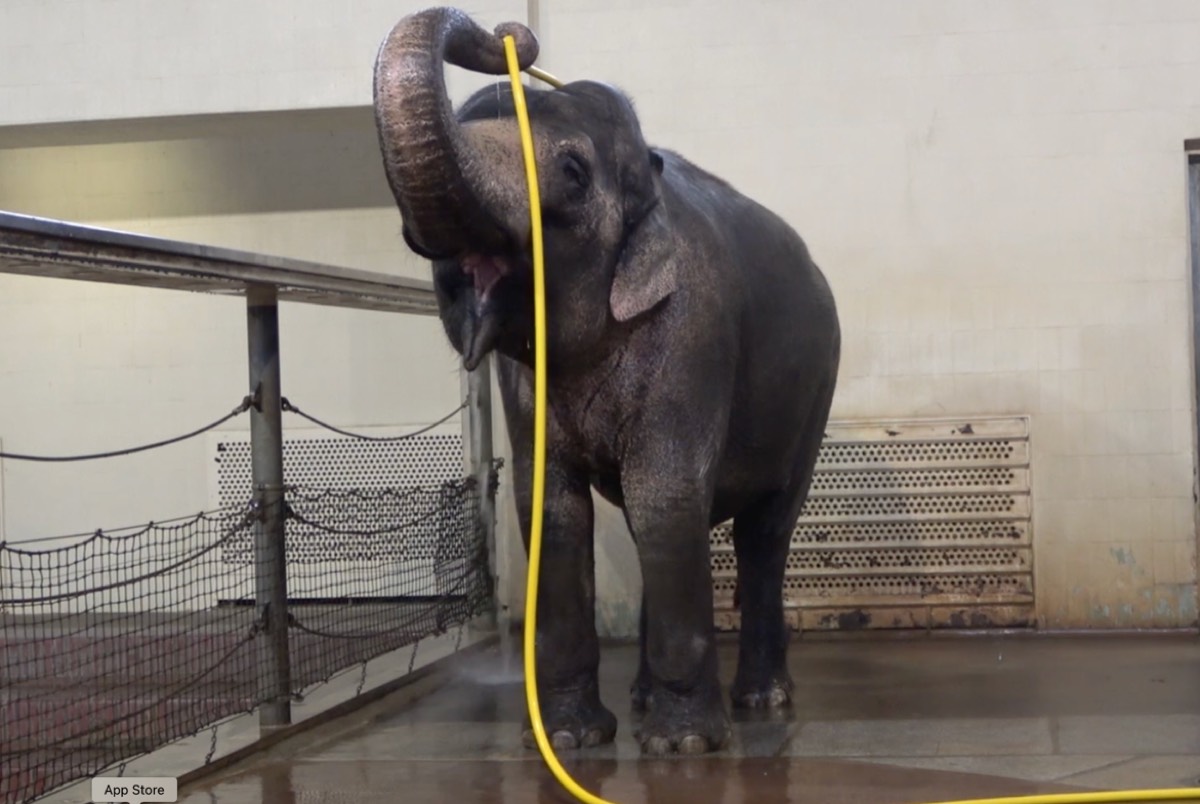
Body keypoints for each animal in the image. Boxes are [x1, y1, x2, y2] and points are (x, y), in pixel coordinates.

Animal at [372, 7, 841, 756]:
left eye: (569, 172)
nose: (509, 33)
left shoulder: (693, 330)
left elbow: (665, 495)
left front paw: (682, 749)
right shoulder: (522, 379)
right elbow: (552, 509)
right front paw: (571, 740)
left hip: (817, 390)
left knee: (762, 532)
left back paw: (761, 701)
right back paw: (648, 698)